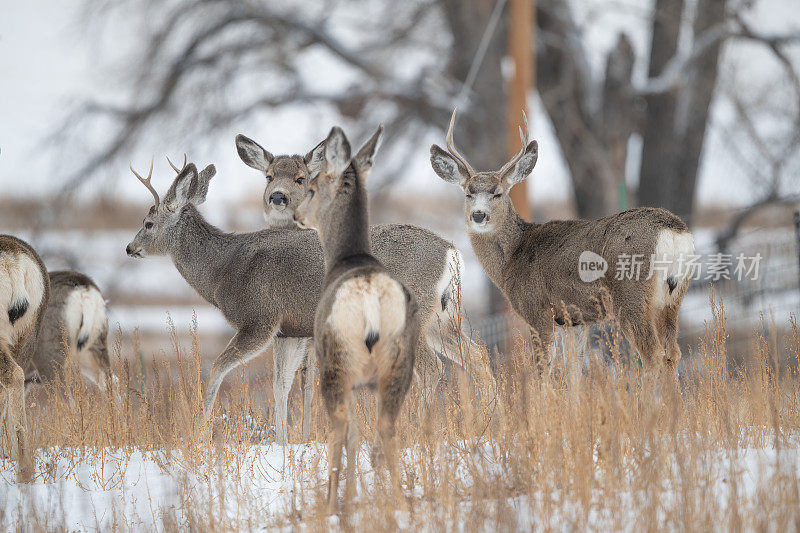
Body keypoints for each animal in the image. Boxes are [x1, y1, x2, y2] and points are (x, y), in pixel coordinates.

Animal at [296, 125, 416, 512]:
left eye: (312, 186)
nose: (297, 214)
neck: (347, 258)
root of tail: (371, 304)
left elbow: (350, 434)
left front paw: (346, 497)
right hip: (400, 363)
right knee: (387, 428)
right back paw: (398, 499)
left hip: (336, 362)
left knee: (342, 427)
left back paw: (330, 501)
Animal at [428, 109, 696, 374]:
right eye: (468, 193)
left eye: (498, 193)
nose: (478, 215)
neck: (512, 257)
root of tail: (674, 232)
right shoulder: (573, 320)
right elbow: (573, 371)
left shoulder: (538, 311)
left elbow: (542, 370)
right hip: (672, 299)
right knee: (672, 354)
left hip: (631, 296)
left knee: (653, 355)